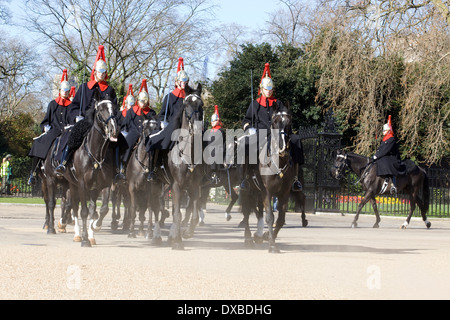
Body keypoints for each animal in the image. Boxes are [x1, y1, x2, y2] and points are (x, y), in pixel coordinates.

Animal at [60, 92, 119, 248]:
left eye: (114, 109)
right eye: (101, 110)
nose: (114, 130)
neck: (96, 154)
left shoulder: (103, 185)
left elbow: (101, 209)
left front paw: (94, 228)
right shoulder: (81, 184)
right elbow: (84, 212)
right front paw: (85, 239)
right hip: (73, 186)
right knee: (74, 208)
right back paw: (77, 235)